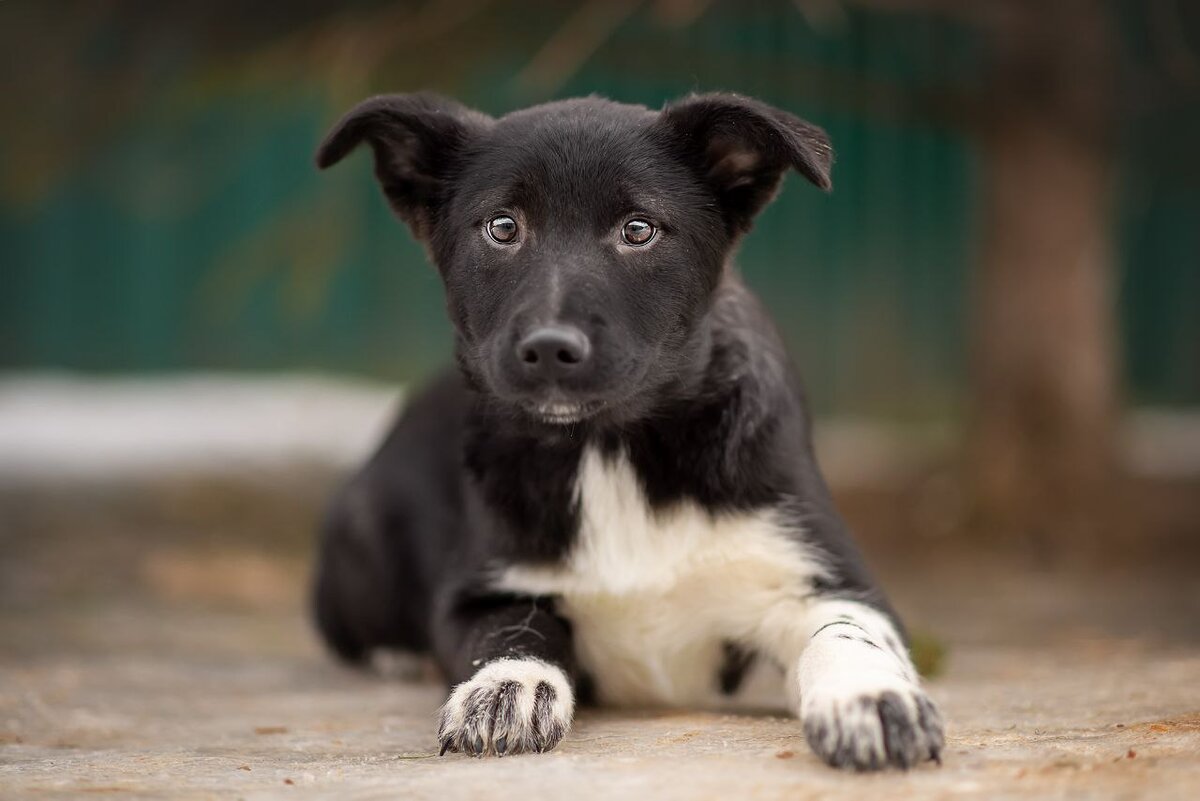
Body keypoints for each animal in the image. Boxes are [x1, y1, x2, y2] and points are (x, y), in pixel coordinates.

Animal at [312, 92, 945, 767]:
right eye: (502, 228)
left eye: (638, 231)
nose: (549, 348)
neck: (611, 447)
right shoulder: (478, 591)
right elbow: (511, 629)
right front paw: (507, 685)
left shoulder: (830, 576)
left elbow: (845, 632)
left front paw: (871, 698)